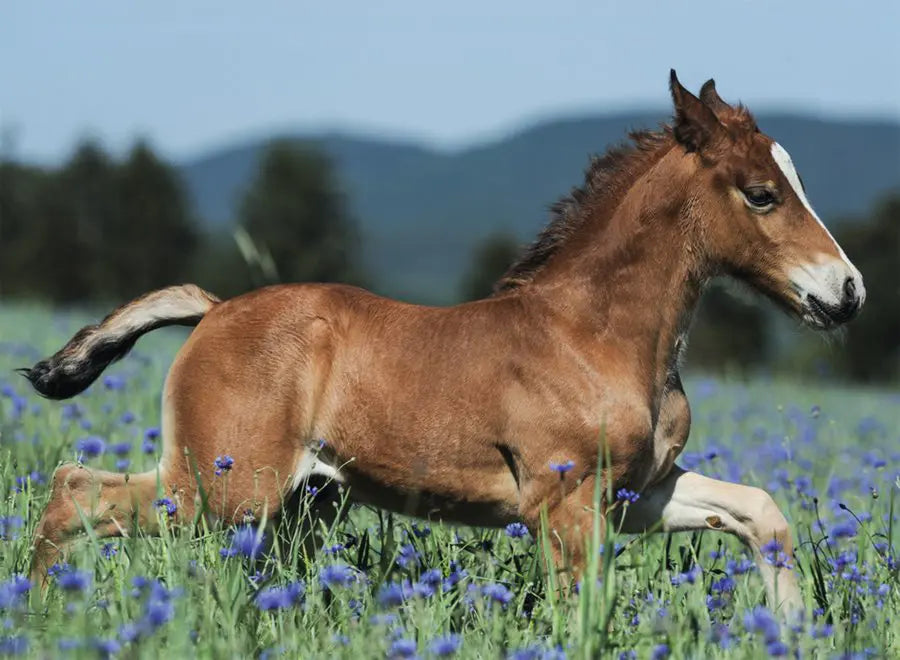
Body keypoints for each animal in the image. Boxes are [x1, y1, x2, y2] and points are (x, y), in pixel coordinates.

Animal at [23, 71, 864, 618]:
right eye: (762, 193)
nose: (847, 291)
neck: (592, 335)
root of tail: (216, 310)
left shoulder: (637, 496)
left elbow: (761, 513)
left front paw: (794, 630)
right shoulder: (565, 501)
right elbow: (579, 611)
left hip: (297, 503)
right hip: (225, 488)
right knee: (73, 490)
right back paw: (40, 613)